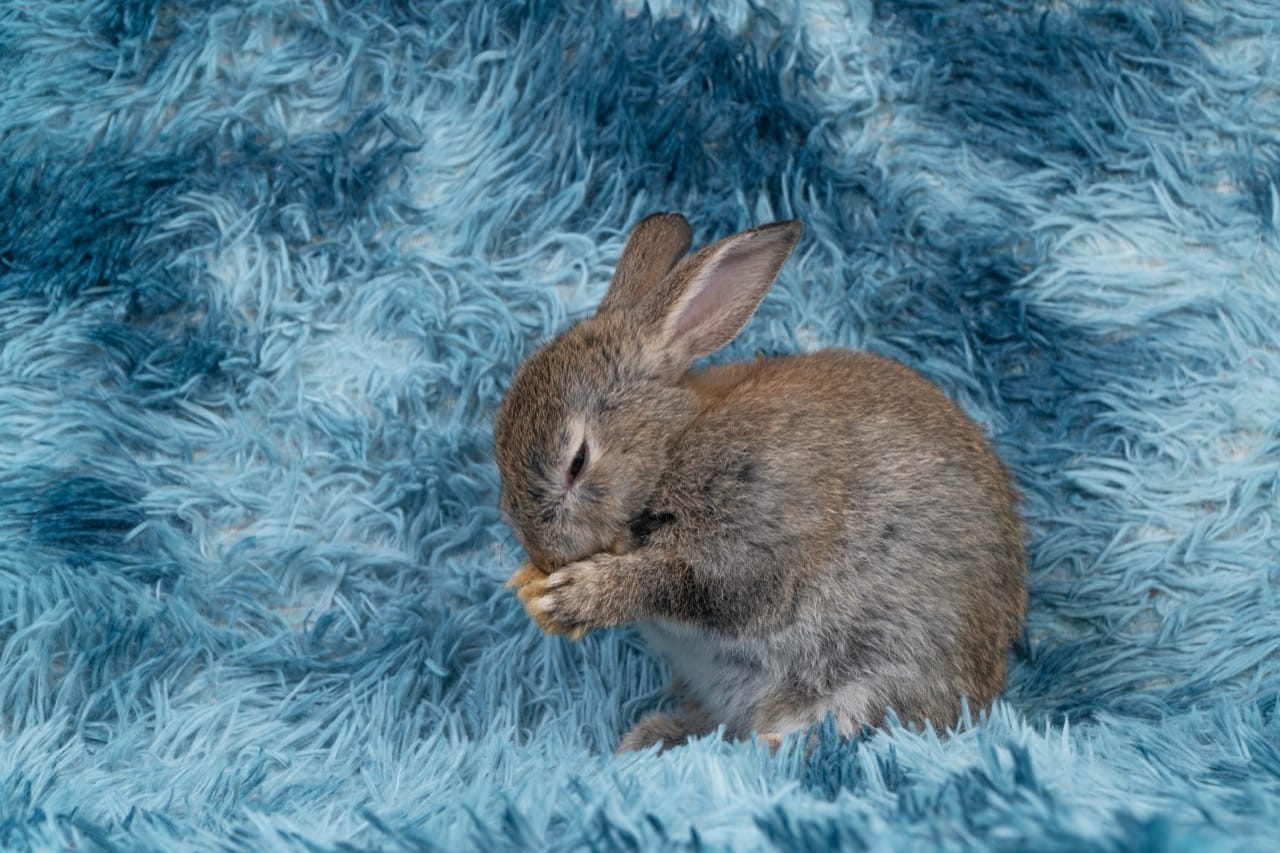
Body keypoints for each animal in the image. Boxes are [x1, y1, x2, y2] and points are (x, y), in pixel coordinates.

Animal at [493, 213, 1026, 753]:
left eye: (577, 462)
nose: (545, 555)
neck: (669, 447)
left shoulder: (756, 538)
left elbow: (687, 585)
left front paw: (574, 597)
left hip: (868, 682)